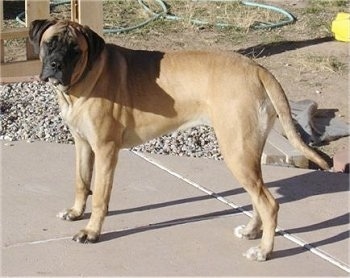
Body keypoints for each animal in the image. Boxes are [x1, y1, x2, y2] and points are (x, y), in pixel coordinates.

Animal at [29, 19, 328, 260]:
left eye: (75, 50)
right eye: (49, 43)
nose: (55, 65)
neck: (86, 76)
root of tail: (256, 68)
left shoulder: (105, 150)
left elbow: (100, 196)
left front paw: (91, 231)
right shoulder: (82, 144)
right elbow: (81, 182)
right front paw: (76, 212)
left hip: (237, 151)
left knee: (269, 203)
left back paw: (264, 251)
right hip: (246, 153)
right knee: (258, 196)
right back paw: (251, 231)